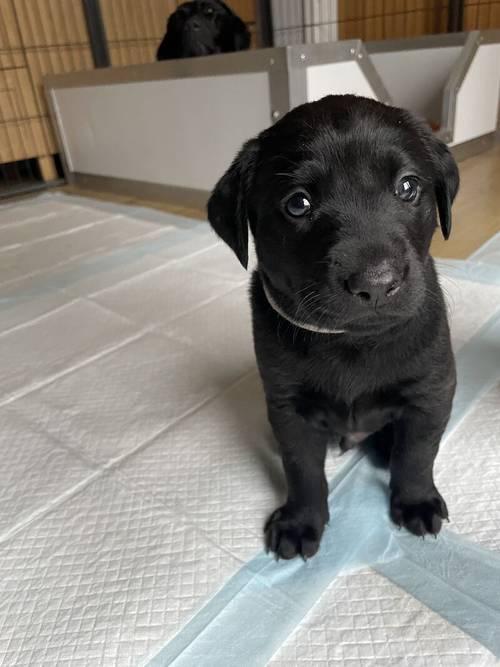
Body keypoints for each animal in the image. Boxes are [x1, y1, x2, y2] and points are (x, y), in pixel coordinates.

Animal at [208, 94, 460, 560]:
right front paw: (300, 521)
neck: (352, 342)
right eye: (298, 203)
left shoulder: (432, 391)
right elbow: (302, 467)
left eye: (407, 187)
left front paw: (416, 500)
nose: (376, 283)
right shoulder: (288, 407)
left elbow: (418, 453)